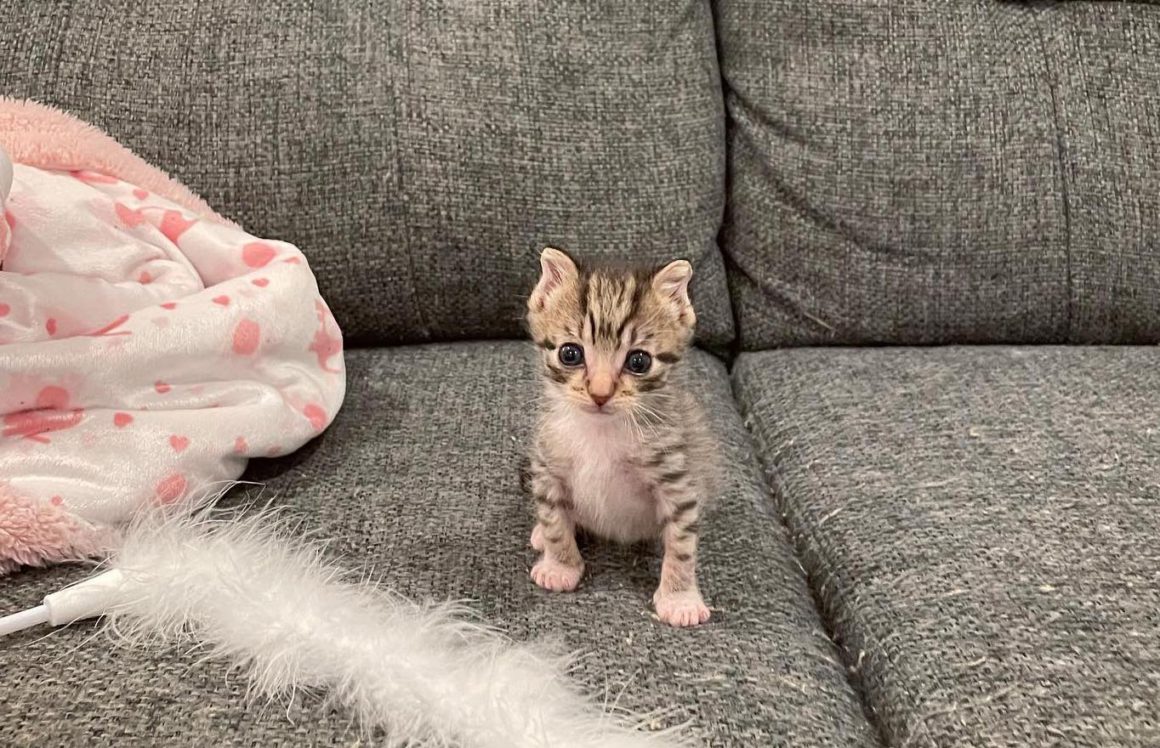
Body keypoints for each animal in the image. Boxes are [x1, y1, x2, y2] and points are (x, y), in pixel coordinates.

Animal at [524, 244, 714, 626]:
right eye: (570, 353)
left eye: (638, 361)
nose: (600, 394)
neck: (602, 430)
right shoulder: (547, 462)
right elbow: (554, 519)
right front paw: (559, 566)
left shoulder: (677, 478)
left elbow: (682, 545)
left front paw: (680, 599)